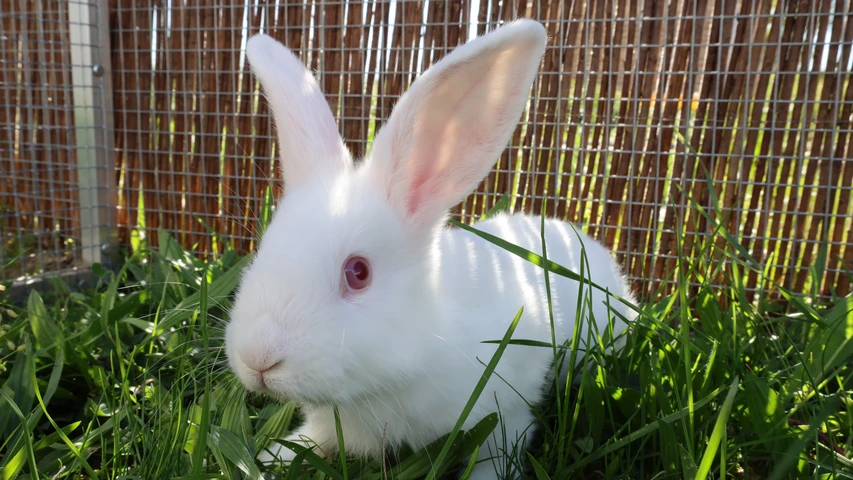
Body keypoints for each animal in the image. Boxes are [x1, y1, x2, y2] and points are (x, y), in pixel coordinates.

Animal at [225, 19, 637, 480]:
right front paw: (267, 458)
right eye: (264, 249)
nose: (258, 359)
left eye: (358, 272)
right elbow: (312, 440)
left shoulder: (506, 415)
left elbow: (497, 455)